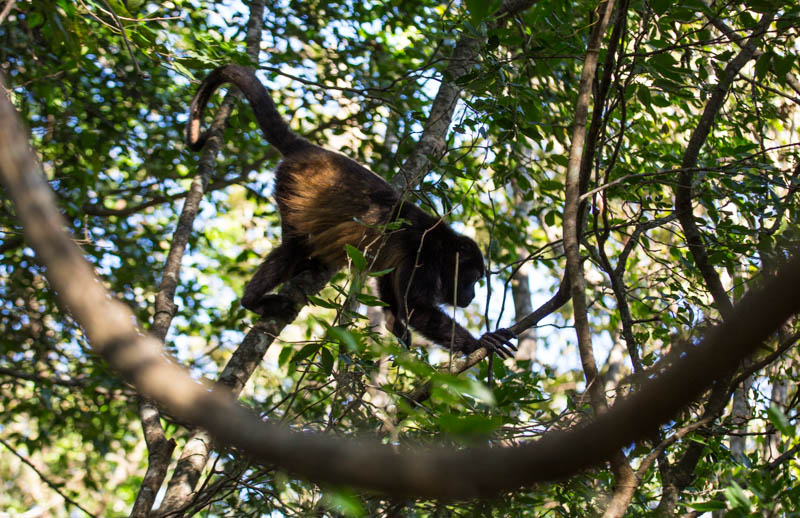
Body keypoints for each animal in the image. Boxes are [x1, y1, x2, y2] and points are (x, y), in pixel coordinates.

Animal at [187, 65, 516, 360]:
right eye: (473, 277)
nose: (471, 295)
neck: (444, 247)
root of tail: (307, 149)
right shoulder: (424, 254)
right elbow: (416, 307)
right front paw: (480, 343)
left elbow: (389, 283)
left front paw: (395, 325)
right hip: (291, 184)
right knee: (293, 245)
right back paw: (253, 301)